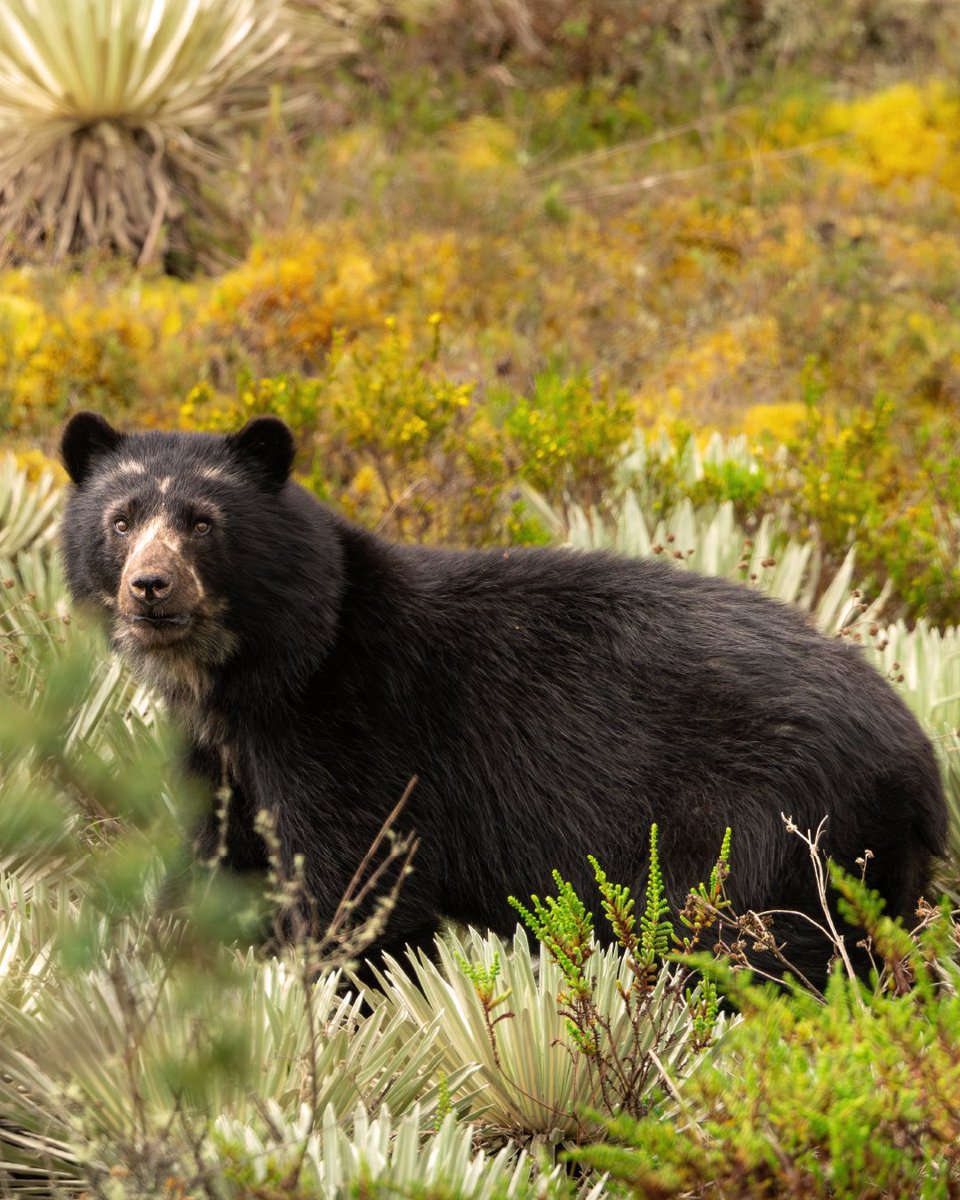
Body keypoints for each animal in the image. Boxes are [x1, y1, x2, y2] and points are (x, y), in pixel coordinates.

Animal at [59, 410, 947, 988]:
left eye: (203, 522)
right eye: (121, 519)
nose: (150, 587)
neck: (248, 676)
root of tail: (920, 760)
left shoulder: (348, 731)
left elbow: (356, 888)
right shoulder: (222, 758)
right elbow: (223, 869)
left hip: (761, 833)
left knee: (762, 954)